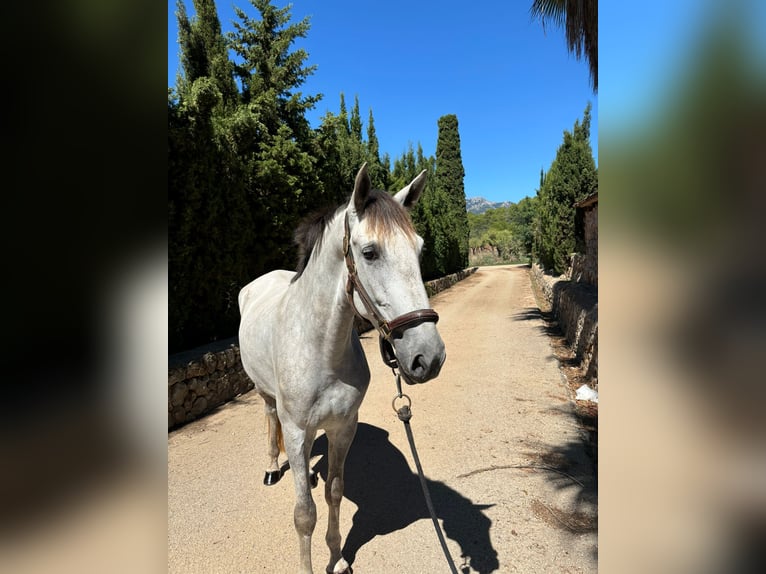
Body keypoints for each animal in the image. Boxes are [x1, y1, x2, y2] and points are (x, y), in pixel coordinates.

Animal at [237, 163, 448, 574]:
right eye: (369, 252)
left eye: (419, 249)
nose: (428, 357)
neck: (320, 349)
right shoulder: (297, 430)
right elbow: (304, 514)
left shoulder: (343, 427)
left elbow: (334, 493)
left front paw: (336, 559)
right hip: (265, 395)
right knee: (270, 420)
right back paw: (272, 468)